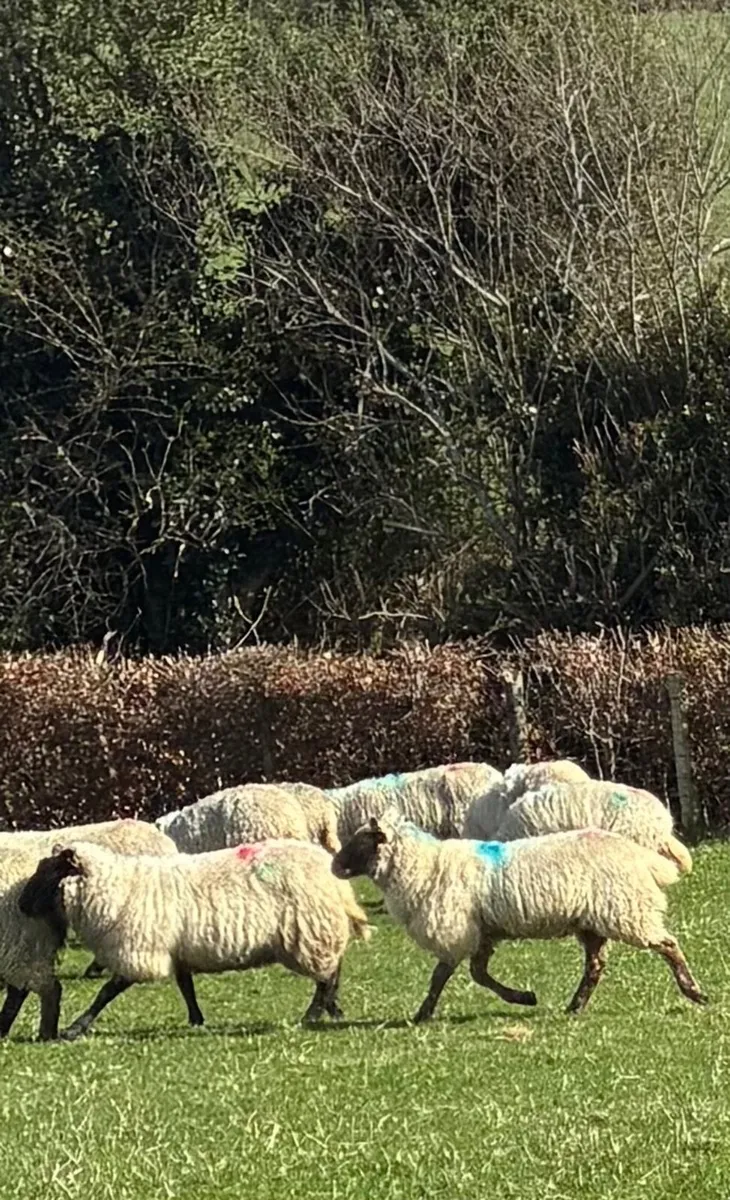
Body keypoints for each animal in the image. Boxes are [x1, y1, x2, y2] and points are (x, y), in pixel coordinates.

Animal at [19, 837, 373, 1040]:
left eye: (52, 871)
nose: (21, 904)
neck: (120, 887)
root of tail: (332, 874)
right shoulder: (177, 951)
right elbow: (186, 986)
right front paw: (196, 1019)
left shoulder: (141, 950)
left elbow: (107, 992)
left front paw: (74, 1028)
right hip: (317, 931)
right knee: (333, 969)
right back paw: (332, 1009)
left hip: (309, 931)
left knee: (327, 974)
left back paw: (314, 1013)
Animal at [331, 816, 706, 1023]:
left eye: (361, 841)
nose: (334, 865)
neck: (425, 866)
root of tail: (641, 857)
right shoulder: (482, 933)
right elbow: (479, 975)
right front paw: (524, 997)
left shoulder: (456, 931)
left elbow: (441, 976)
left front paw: (422, 1013)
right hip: (593, 921)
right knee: (595, 966)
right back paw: (574, 1006)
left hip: (625, 910)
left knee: (667, 944)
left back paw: (695, 992)